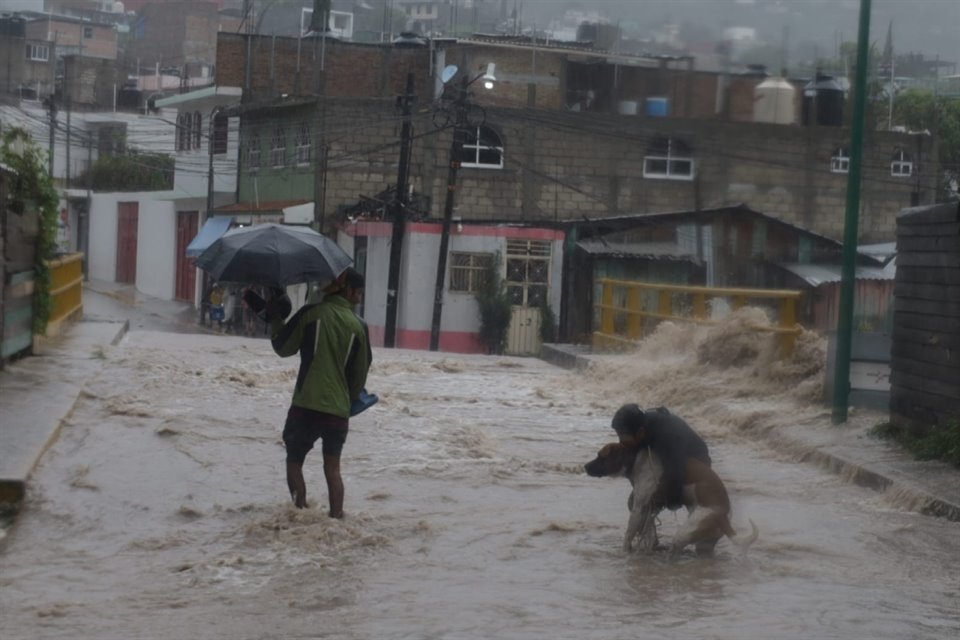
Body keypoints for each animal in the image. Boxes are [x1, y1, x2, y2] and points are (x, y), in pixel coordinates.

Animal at [584, 442, 756, 556]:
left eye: (601, 457)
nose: (585, 466)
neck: (635, 458)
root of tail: (722, 516)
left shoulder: (639, 508)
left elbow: (628, 535)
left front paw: (625, 552)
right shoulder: (649, 508)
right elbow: (648, 531)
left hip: (685, 532)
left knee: (675, 549)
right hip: (704, 543)